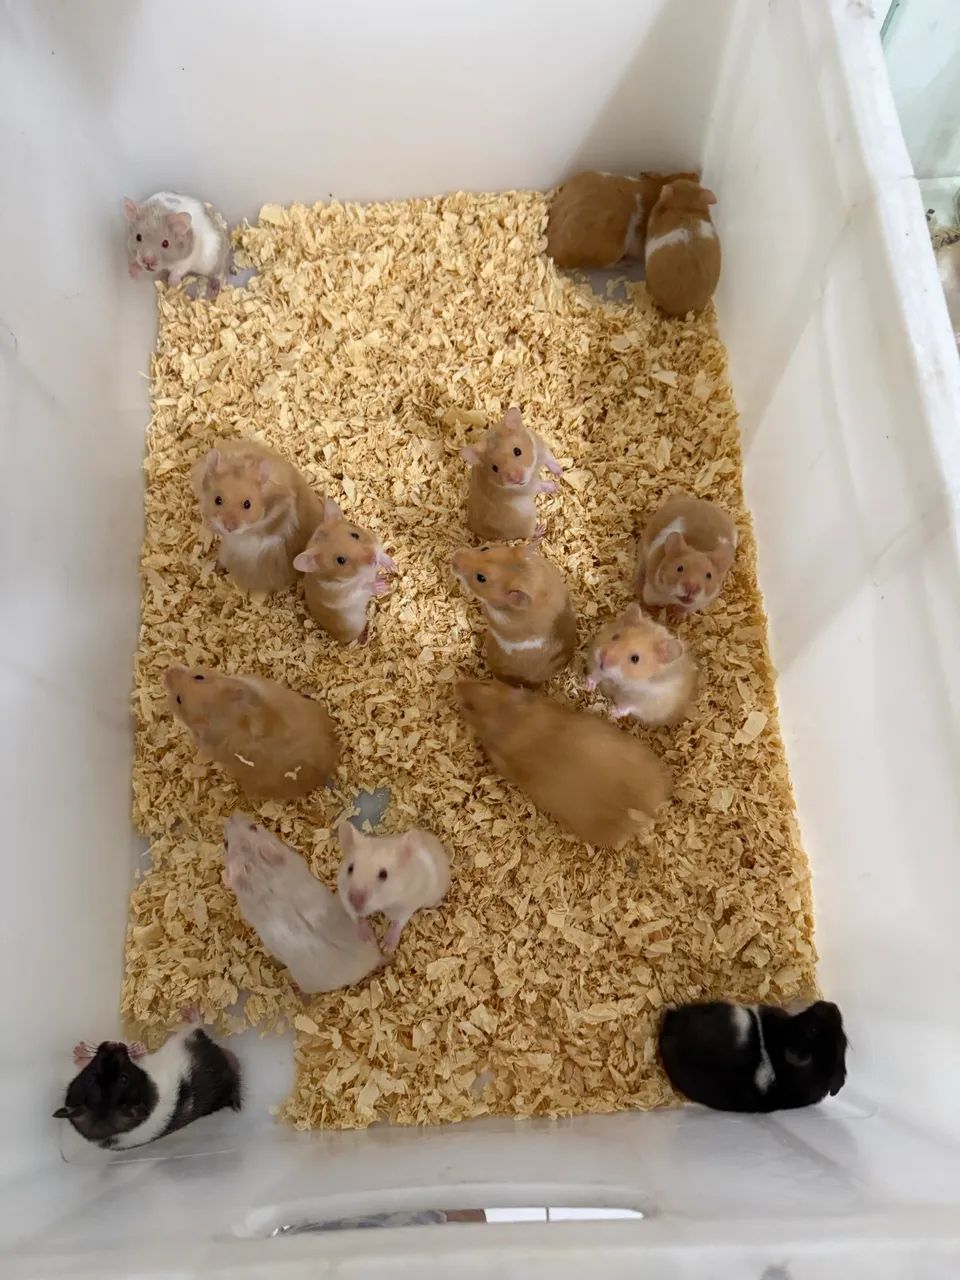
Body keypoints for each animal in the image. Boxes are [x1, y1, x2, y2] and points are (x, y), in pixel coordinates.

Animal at [55, 1010, 241, 1150]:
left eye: (90, 1078)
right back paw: (190, 1011)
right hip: (192, 1038)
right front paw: (137, 1048)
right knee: (198, 1025)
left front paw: (79, 1049)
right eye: (124, 1078)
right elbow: (142, 1058)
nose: (113, 1044)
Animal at [292, 499, 397, 643]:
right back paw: (364, 638)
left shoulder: (373, 541)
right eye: (340, 560)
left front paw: (392, 566)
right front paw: (383, 584)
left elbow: (380, 552)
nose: (372, 558)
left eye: (355, 535)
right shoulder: (343, 594)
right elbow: (364, 587)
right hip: (353, 624)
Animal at [336, 821, 451, 954]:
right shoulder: (343, 894)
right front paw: (369, 939)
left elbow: (397, 922)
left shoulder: (406, 905)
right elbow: (356, 917)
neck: (385, 903)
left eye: (384, 874)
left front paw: (386, 947)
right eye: (350, 868)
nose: (355, 901)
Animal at [460, 407, 562, 541]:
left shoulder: (540, 446)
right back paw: (541, 529)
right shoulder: (524, 489)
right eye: (494, 468)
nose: (517, 480)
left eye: (517, 451)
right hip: (526, 521)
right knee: (529, 534)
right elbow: (539, 485)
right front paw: (555, 486)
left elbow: (550, 459)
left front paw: (560, 473)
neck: (532, 472)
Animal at [546, 169, 700, 269]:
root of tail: (551, 251)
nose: (697, 174)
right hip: (614, 250)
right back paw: (627, 264)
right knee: (609, 265)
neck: (656, 188)